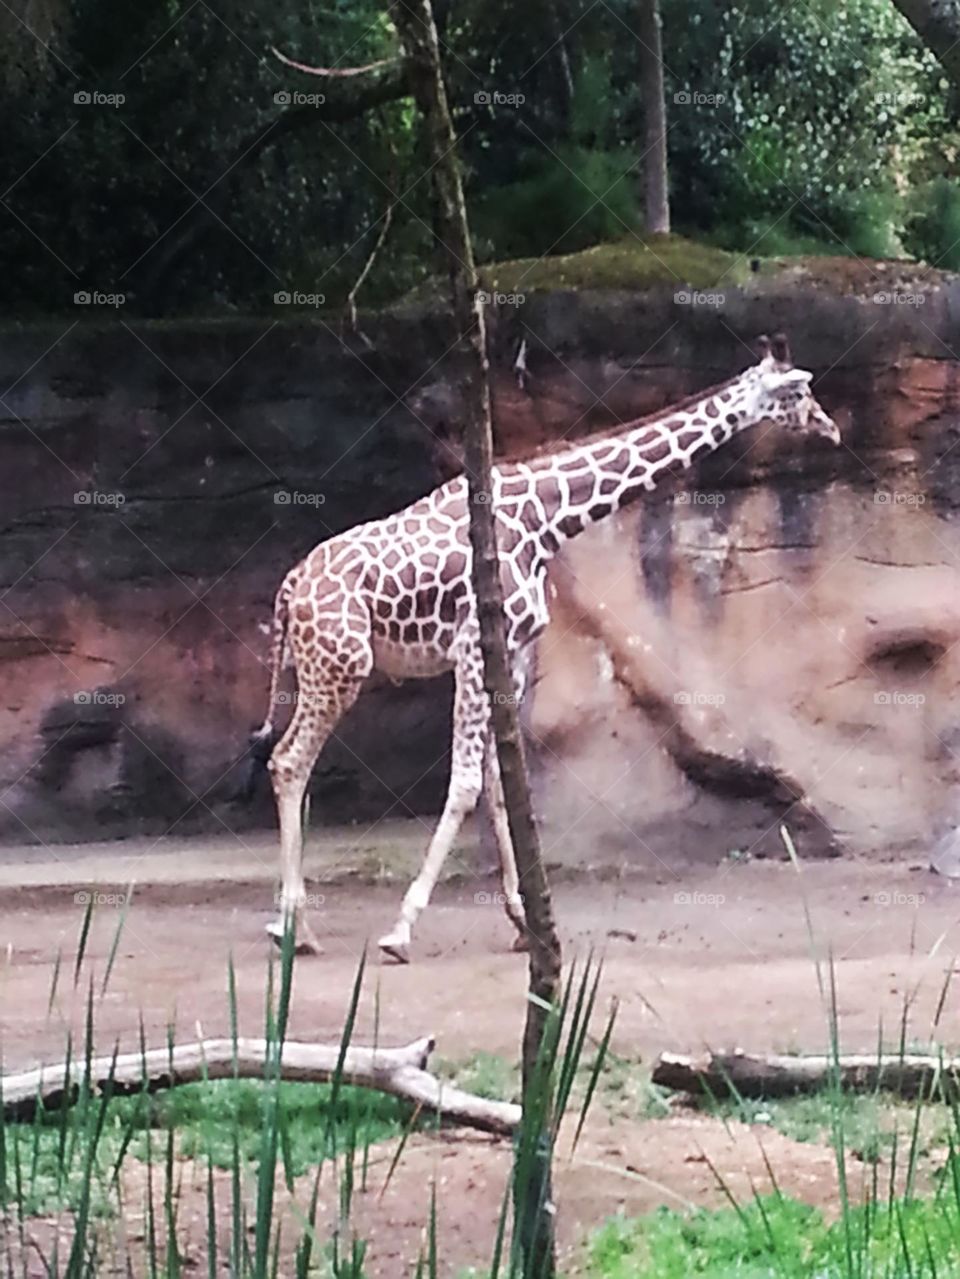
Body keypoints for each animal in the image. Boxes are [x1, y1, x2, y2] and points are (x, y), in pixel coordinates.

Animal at [251, 329, 838, 961]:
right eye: (799, 389)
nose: (830, 428)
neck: (548, 517)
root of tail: (289, 590)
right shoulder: (473, 646)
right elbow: (465, 782)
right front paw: (402, 928)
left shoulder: (512, 649)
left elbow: (500, 783)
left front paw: (522, 919)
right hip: (340, 664)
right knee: (288, 760)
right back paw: (293, 927)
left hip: (321, 666)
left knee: (287, 759)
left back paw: (296, 926)